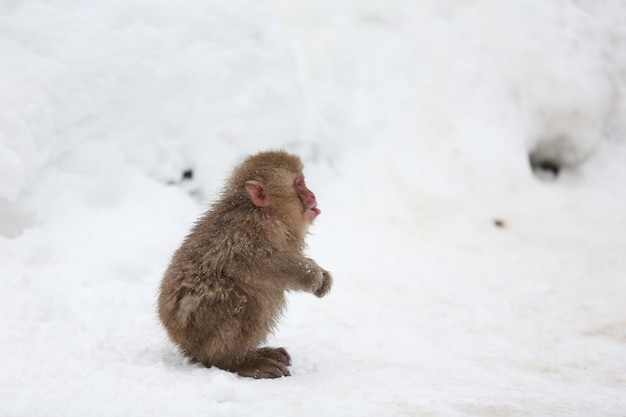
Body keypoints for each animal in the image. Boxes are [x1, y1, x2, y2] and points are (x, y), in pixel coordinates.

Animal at [156, 150, 332, 376]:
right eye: (299, 184)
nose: (312, 195)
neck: (263, 211)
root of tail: (180, 340)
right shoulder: (244, 233)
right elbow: (257, 264)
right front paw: (311, 275)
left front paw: (324, 276)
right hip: (200, 326)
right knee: (245, 299)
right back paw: (237, 362)